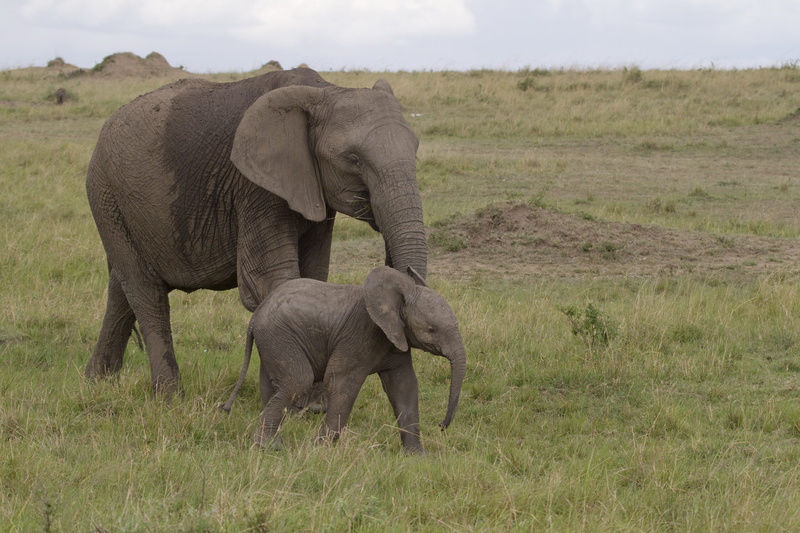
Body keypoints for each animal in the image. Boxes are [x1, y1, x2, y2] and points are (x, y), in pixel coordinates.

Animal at [84, 68, 427, 396]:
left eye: (415, 151)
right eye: (353, 160)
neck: (325, 91)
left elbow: (313, 279)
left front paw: (312, 399)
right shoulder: (255, 187)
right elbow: (270, 281)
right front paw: (303, 401)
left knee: (122, 287)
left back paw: (98, 381)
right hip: (107, 194)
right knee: (145, 292)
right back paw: (168, 396)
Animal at [220, 266, 466, 454]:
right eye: (432, 329)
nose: (441, 426)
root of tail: (255, 317)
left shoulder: (396, 340)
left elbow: (404, 387)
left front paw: (417, 457)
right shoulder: (361, 334)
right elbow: (342, 383)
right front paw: (320, 449)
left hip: (272, 341)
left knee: (271, 386)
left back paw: (271, 444)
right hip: (280, 337)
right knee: (298, 381)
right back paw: (268, 447)